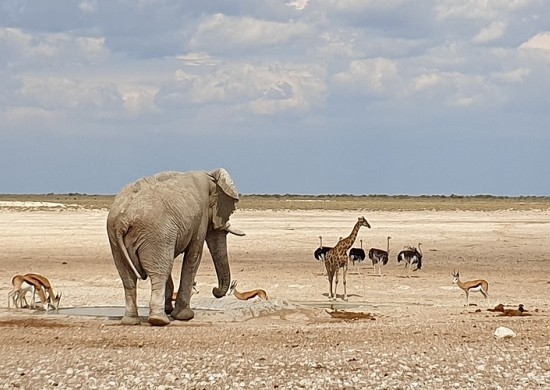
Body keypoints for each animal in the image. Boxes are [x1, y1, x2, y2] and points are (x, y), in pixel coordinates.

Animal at [106, 168, 245, 326]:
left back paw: (131, 321)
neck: (210, 176)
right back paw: (159, 320)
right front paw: (184, 316)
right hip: (155, 233)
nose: (214, 290)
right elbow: (193, 257)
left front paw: (170, 310)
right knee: (160, 272)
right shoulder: (200, 218)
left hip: (115, 238)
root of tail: (122, 219)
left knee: (127, 277)